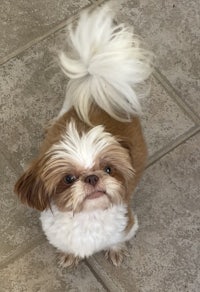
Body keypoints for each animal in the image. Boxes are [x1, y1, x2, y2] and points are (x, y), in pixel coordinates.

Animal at [14, 4, 154, 268]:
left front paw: (115, 251)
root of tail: (97, 91)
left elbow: (116, 240)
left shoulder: (127, 225)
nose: (92, 177)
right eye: (68, 179)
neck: (87, 218)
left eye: (108, 169)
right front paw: (70, 255)